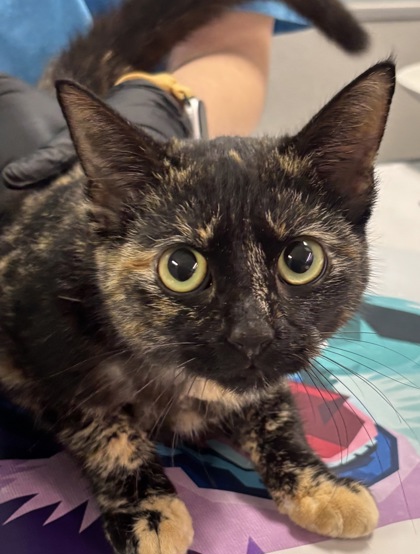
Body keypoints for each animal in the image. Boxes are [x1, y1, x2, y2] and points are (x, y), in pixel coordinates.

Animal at [0, 1, 395, 553]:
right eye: (181, 268)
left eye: (301, 259)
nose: (252, 333)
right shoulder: (41, 355)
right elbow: (103, 425)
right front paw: (149, 509)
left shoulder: (265, 379)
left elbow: (275, 411)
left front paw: (321, 485)